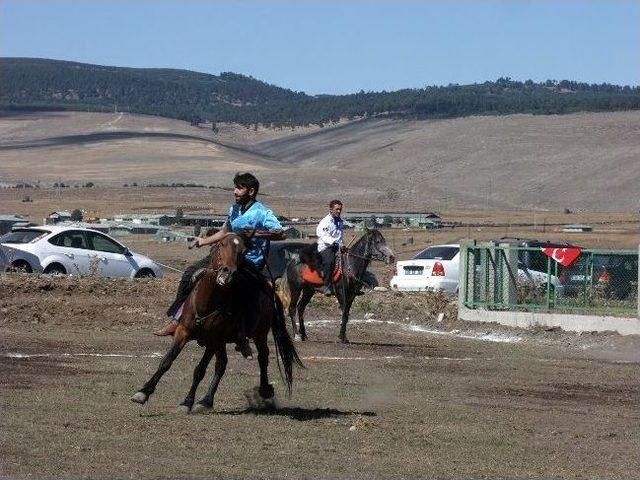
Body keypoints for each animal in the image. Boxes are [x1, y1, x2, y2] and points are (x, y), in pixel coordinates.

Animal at [130, 232, 302, 412]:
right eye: (221, 244)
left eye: (243, 250)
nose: (228, 272)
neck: (207, 303)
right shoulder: (184, 332)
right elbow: (166, 361)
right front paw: (143, 392)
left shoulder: (214, 339)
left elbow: (200, 370)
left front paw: (188, 402)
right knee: (222, 364)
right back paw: (207, 400)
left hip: (258, 334)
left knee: (262, 357)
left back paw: (263, 390)